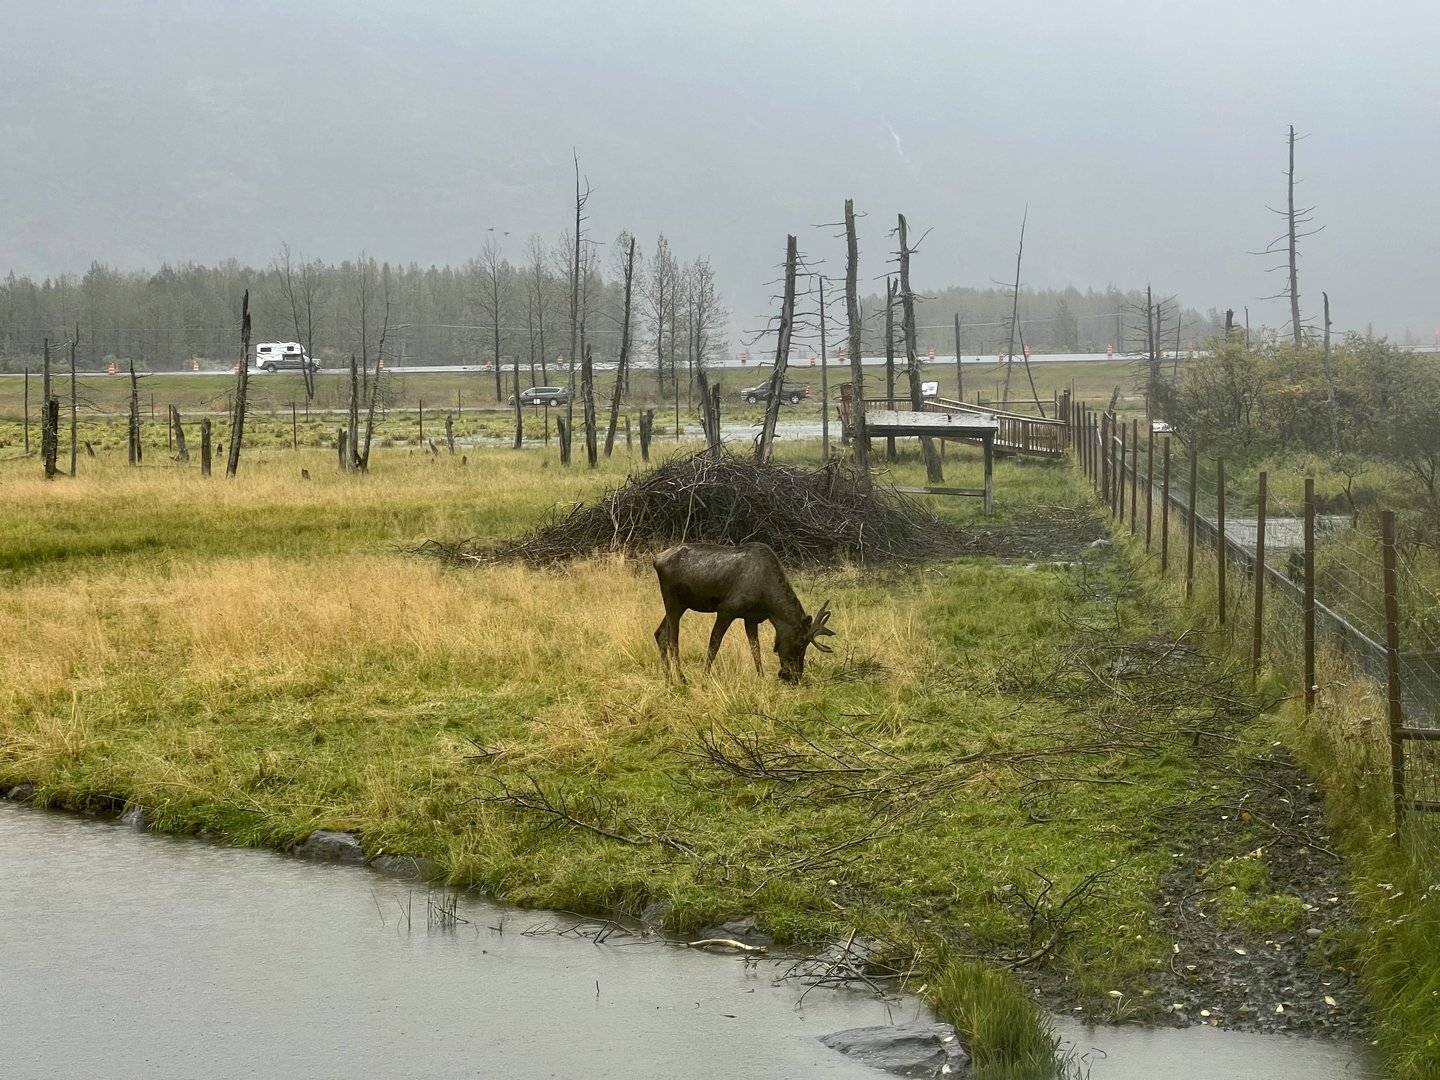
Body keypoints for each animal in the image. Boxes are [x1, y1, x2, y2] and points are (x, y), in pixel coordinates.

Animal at [652, 542, 835, 685]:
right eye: (800, 644)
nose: (793, 678)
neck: (769, 603)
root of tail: (656, 560)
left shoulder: (751, 618)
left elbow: (755, 649)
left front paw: (761, 678)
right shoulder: (726, 610)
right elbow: (714, 644)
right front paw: (705, 678)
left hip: (680, 605)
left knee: (660, 634)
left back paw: (668, 680)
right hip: (673, 601)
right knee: (672, 641)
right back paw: (682, 679)